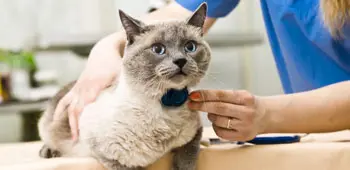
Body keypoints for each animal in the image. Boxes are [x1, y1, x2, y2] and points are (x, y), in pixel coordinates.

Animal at [39, 2, 211, 170]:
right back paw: (48, 152)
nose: (180, 61)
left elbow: (187, 156)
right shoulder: (107, 154)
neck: (164, 103)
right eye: (158, 49)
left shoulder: (194, 132)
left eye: (190, 47)